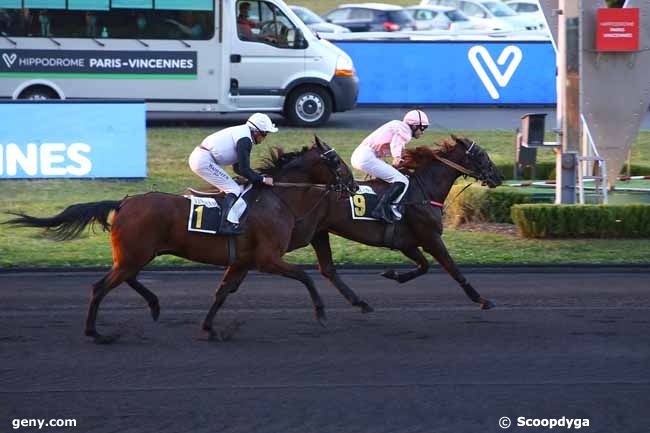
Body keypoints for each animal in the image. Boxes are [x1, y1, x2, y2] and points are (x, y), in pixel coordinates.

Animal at [5, 137, 356, 342]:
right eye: (337, 161)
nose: (353, 186)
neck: (277, 199)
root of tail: (124, 202)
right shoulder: (267, 259)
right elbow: (305, 277)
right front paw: (321, 313)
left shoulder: (243, 261)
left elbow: (222, 292)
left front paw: (210, 328)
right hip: (136, 253)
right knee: (101, 287)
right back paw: (97, 332)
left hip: (137, 254)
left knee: (125, 277)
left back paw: (154, 305)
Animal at [276, 135, 504, 310]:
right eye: (481, 154)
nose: (498, 176)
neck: (423, 191)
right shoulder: (431, 238)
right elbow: (453, 269)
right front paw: (482, 300)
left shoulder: (406, 243)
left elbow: (424, 266)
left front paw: (392, 274)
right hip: (301, 232)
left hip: (318, 232)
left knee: (327, 270)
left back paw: (360, 303)